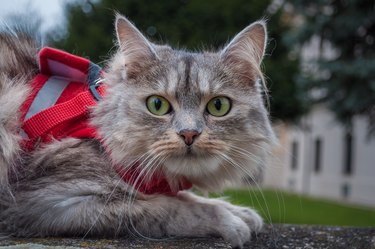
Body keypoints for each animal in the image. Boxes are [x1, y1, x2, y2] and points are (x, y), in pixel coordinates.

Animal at [0, 14, 276, 248]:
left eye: (218, 106)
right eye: (157, 105)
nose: (189, 133)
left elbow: (189, 198)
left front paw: (239, 211)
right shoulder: (49, 202)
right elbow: (170, 207)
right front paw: (230, 221)